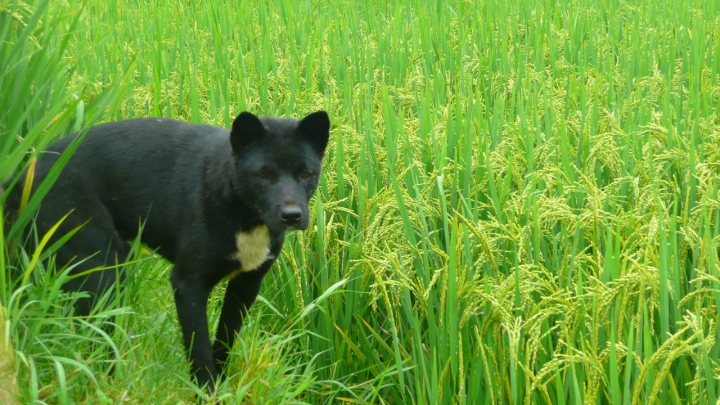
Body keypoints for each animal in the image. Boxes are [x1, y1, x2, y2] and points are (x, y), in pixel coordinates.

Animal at [2, 110, 330, 388]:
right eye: (262, 174)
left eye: (305, 173)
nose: (292, 215)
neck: (242, 213)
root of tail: (25, 171)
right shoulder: (188, 284)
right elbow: (199, 349)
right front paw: (206, 393)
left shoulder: (246, 284)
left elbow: (223, 342)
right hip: (102, 267)